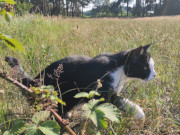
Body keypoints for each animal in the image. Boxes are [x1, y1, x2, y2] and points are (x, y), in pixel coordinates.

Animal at [4, 44, 155, 121]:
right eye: (146, 68)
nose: (155, 74)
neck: (119, 69)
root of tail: (34, 82)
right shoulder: (101, 91)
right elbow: (120, 101)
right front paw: (139, 112)